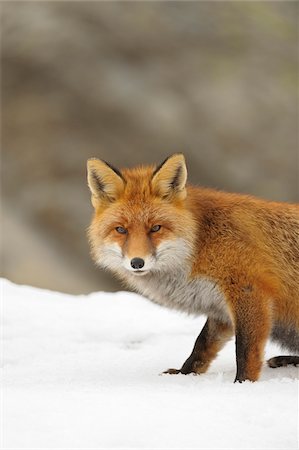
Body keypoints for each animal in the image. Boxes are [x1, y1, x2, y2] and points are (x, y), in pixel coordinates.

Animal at [87, 153, 299, 382]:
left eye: (156, 228)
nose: (137, 262)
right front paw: (184, 374)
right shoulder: (220, 308)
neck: (200, 243)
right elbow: (202, 345)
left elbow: (245, 351)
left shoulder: (248, 291)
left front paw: (243, 384)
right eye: (121, 230)